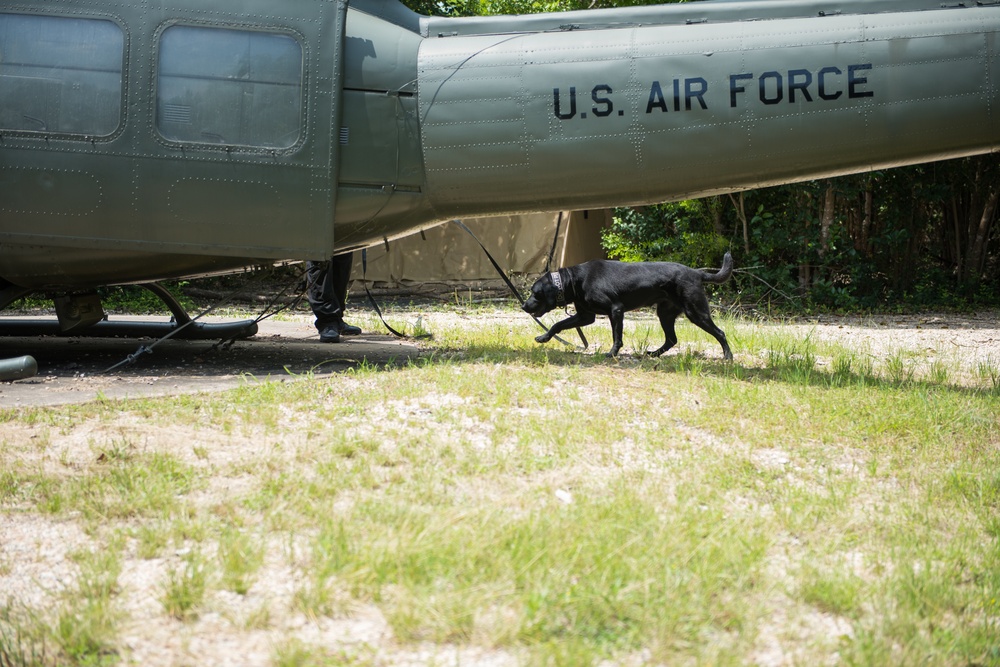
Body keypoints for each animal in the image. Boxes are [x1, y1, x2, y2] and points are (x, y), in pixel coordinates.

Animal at [524, 253, 736, 360]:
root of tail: (697, 273)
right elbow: (557, 324)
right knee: (672, 339)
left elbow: (616, 337)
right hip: (665, 313)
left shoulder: (615, 310)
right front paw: (544, 337)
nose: (524, 306)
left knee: (720, 333)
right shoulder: (585, 316)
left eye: (535, 293)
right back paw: (653, 354)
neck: (574, 280)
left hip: (696, 312)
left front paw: (612, 353)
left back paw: (728, 357)